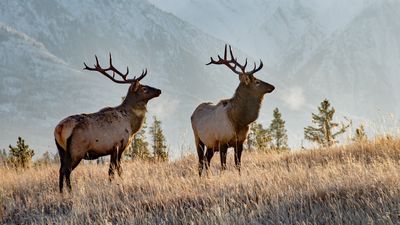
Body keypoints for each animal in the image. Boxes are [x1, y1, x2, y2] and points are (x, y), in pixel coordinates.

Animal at [54, 54, 161, 192]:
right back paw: (71, 191)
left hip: (61, 150)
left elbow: (112, 170)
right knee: (67, 170)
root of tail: (59, 128)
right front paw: (119, 184)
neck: (131, 126)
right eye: (144, 88)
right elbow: (116, 170)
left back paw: (61, 192)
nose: (159, 90)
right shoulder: (119, 145)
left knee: (61, 170)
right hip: (77, 150)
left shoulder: (112, 149)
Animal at [191, 44, 276, 176]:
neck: (238, 121)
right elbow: (223, 166)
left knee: (206, 160)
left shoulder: (240, 142)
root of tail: (193, 113)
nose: (272, 86)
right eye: (257, 82)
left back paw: (208, 177)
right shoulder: (222, 142)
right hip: (198, 139)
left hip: (211, 145)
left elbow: (238, 165)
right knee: (200, 162)